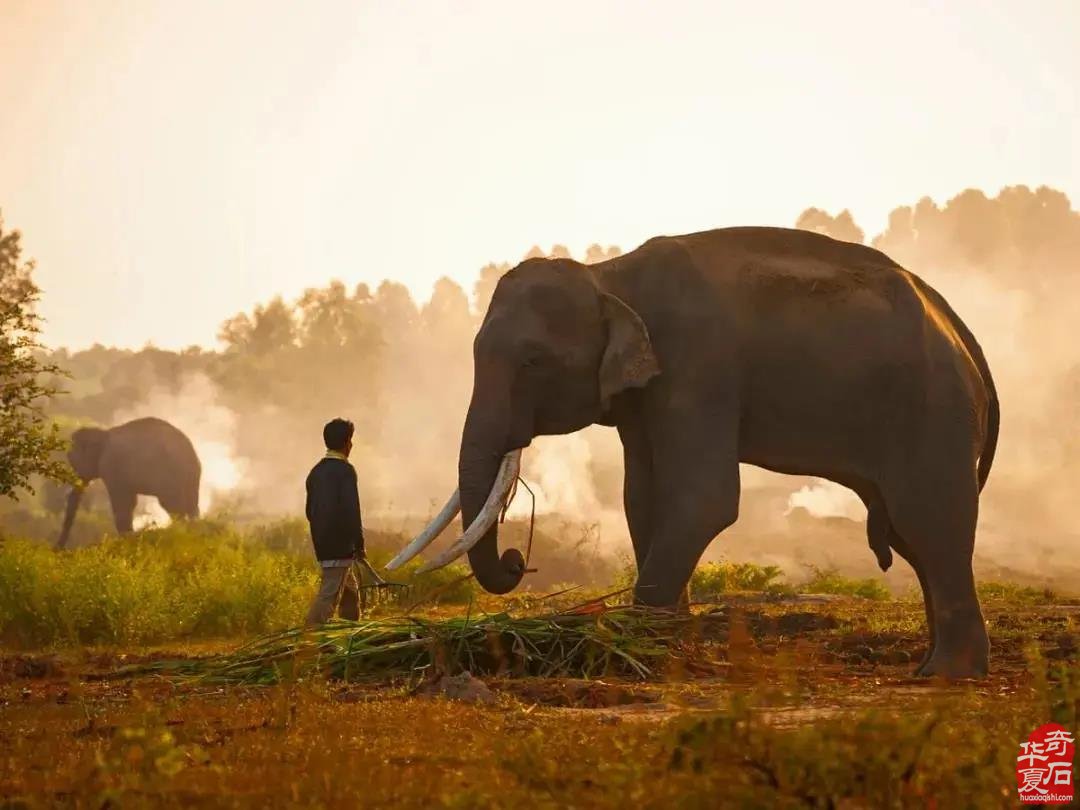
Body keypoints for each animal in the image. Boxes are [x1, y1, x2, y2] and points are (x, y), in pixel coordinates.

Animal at [56, 419, 200, 552]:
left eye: (73, 462)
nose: (58, 549)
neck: (103, 434)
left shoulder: (111, 464)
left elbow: (123, 502)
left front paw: (125, 539)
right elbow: (130, 502)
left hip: (170, 476)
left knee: (173, 506)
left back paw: (180, 532)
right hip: (191, 476)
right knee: (191, 505)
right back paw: (191, 530)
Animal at [386, 226, 993, 678]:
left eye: (533, 361)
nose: (517, 560)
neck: (609, 274)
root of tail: (956, 324)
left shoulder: (699, 367)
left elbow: (704, 500)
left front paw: (634, 649)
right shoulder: (645, 398)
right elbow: (642, 499)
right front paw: (665, 645)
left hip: (932, 408)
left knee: (927, 520)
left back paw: (946, 674)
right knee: (913, 537)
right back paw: (935, 669)